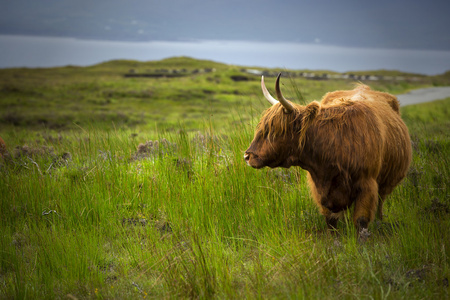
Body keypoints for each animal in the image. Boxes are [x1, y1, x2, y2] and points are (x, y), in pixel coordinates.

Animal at [244, 75, 414, 241]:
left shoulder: (367, 185)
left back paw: (380, 221)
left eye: (275, 131)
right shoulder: (321, 189)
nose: (247, 156)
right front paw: (335, 243)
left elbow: (361, 221)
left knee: (380, 203)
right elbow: (331, 222)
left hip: (385, 184)